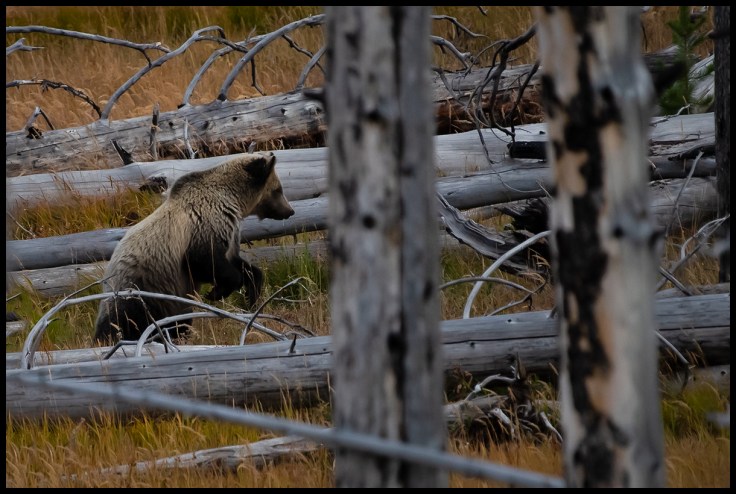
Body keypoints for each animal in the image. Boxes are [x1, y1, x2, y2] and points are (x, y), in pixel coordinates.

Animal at [94, 152, 294, 344]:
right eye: (278, 189)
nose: (289, 211)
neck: (233, 201)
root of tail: (107, 275)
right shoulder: (202, 228)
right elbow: (205, 262)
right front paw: (216, 293)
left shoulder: (229, 236)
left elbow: (240, 265)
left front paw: (250, 295)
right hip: (142, 286)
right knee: (125, 319)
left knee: (178, 321)